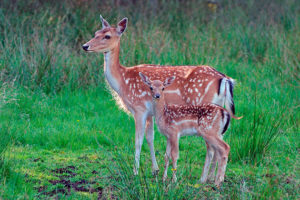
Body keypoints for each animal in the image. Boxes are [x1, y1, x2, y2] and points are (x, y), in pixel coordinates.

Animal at [82, 15, 237, 176]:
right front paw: (155, 170)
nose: (85, 46)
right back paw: (211, 177)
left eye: (107, 36)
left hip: (206, 110)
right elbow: (150, 138)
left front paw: (135, 171)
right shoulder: (150, 112)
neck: (122, 82)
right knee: (218, 145)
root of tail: (225, 79)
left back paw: (205, 178)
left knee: (211, 147)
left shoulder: (139, 109)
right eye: (96, 32)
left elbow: (138, 141)